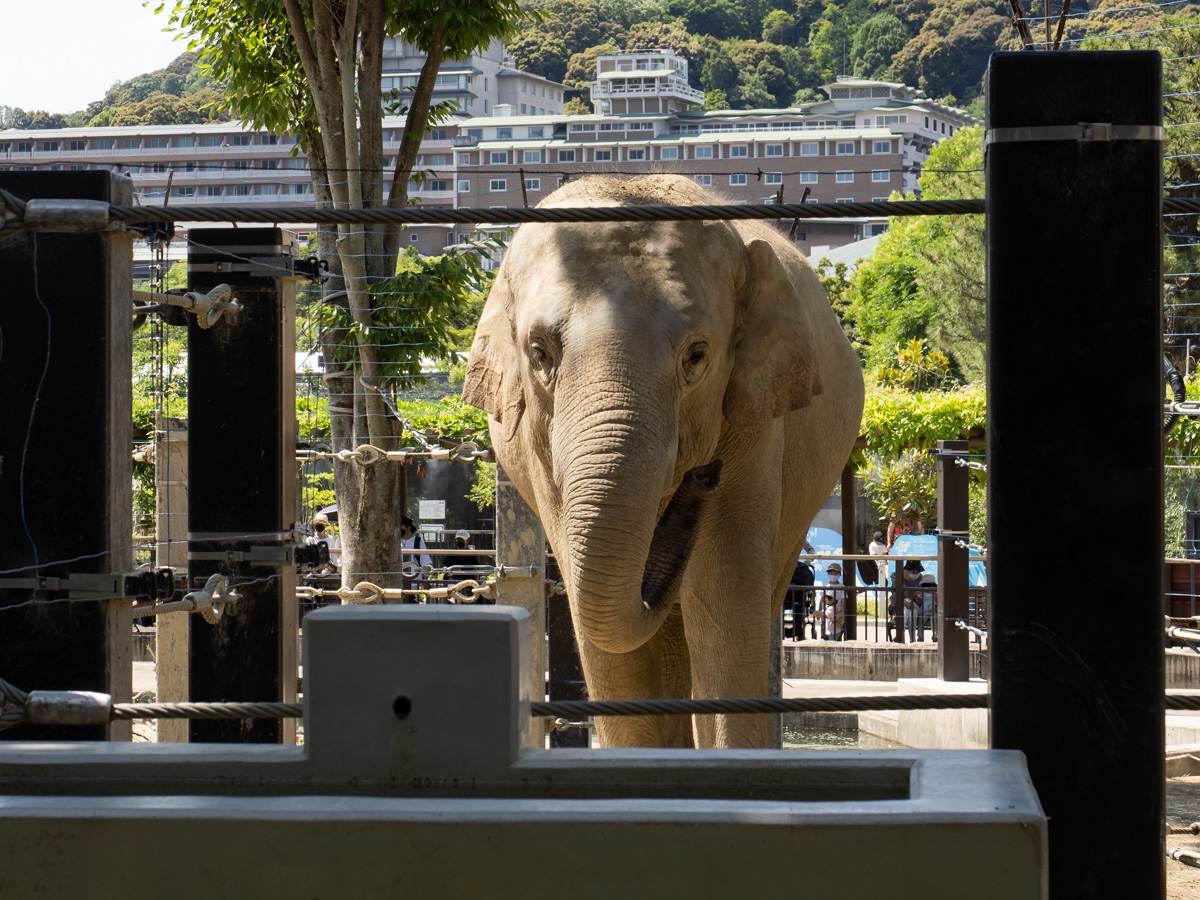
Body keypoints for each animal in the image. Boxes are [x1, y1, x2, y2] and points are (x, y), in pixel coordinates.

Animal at [458, 174, 864, 748]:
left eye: (697, 355)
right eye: (539, 352)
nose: (703, 476)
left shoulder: (755, 423)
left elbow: (723, 598)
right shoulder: (544, 460)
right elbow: (603, 631)